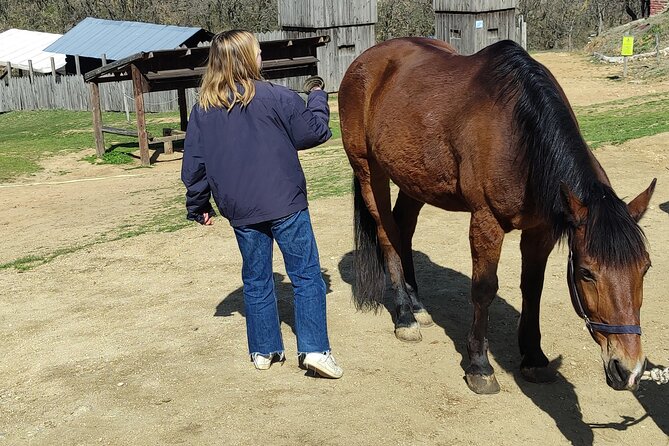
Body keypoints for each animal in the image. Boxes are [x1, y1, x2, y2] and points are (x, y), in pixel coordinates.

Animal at [338, 37, 656, 395]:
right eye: (587, 273)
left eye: (645, 268)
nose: (628, 370)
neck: (519, 136)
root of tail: (365, 61)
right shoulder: (485, 221)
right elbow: (484, 289)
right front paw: (480, 365)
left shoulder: (541, 230)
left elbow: (533, 287)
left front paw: (534, 356)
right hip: (369, 171)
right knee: (387, 234)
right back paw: (405, 316)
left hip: (414, 179)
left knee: (403, 227)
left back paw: (418, 305)